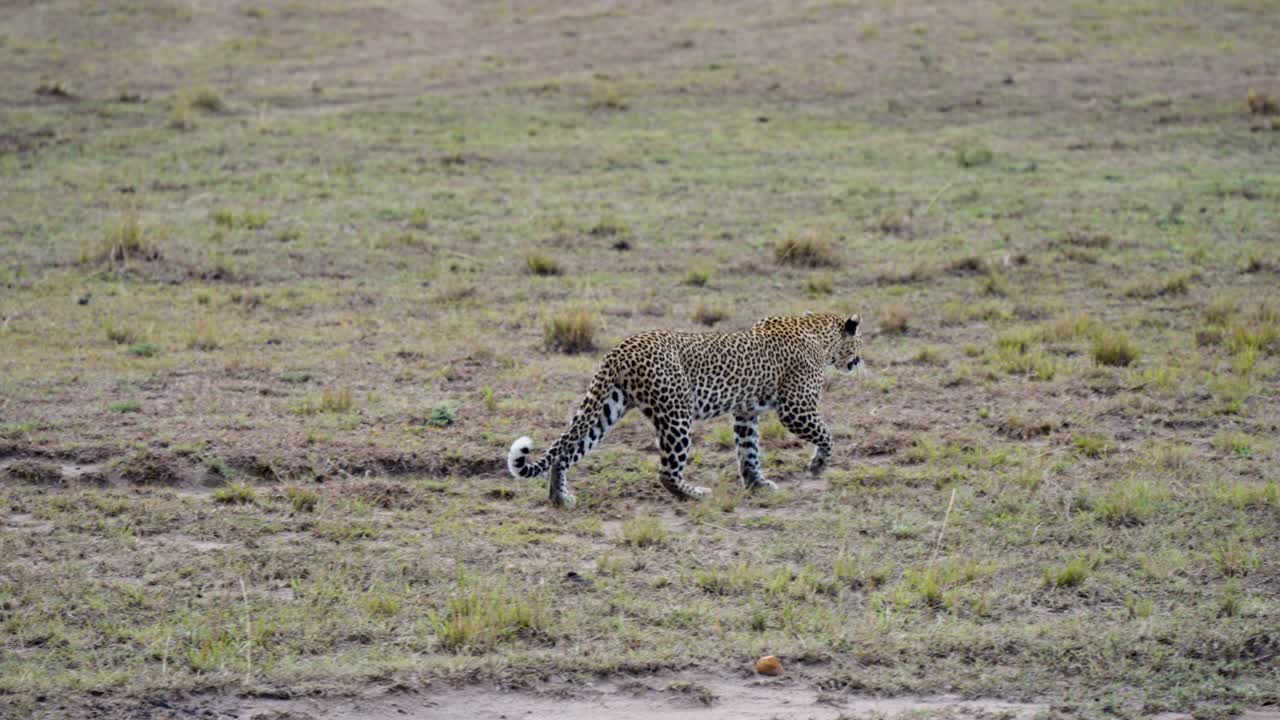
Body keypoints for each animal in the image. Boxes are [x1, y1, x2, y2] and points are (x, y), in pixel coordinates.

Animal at [507, 312, 865, 507]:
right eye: (861, 342)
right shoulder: (795, 408)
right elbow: (827, 434)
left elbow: (749, 451)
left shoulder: (746, 413)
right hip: (676, 414)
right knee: (667, 472)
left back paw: (559, 498)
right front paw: (818, 465)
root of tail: (621, 347)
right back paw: (695, 494)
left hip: (608, 408)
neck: (817, 331)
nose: (860, 361)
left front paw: (757, 484)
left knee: (566, 451)